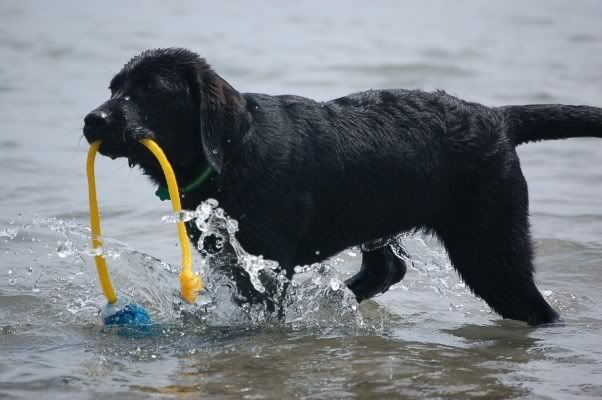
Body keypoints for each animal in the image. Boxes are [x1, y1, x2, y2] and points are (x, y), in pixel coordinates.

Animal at [84, 49, 600, 324]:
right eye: (114, 88)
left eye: (151, 90)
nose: (93, 120)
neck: (233, 155)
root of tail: (497, 118)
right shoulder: (229, 256)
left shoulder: (266, 264)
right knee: (387, 269)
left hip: (490, 245)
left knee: (533, 306)